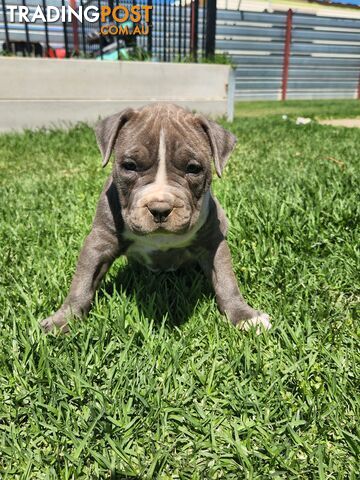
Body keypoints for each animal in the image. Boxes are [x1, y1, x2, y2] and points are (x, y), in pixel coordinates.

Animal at [40, 102, 270, 334]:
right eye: (129, 166)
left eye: (193, 169)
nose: (160, 208)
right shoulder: (99, 242)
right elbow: (82, 282)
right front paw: (64, 319)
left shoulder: (213, 243)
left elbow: (226, 281)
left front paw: (244, 315)